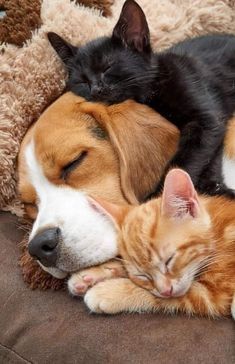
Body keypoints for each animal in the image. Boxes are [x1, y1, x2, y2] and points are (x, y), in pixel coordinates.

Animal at [47, 0, 235, 199]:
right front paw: (214, 188)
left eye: (107, 67)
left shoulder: (208, 120)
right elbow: (209, 157)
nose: (96, 89)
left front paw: (159, 196)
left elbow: (186, 160)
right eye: (82, 80)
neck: (151, 95)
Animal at [68, 169, 235, 318]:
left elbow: (170, 298)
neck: (217, 233)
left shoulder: (215, 294)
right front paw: (92, 274)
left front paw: (110, 292)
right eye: (142, 275)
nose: (166, 291)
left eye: (169, 260)